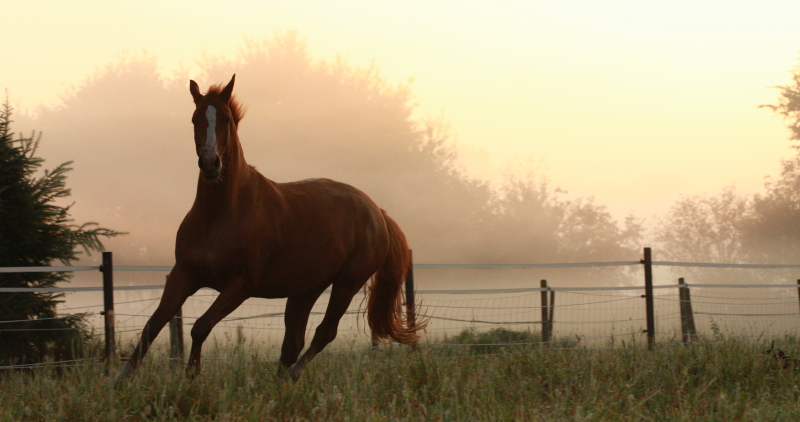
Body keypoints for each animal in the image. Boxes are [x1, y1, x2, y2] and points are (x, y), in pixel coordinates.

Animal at [116, 74, 424, 384]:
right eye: (194, 119)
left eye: (226, 119)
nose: (211, 163)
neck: (221, 214)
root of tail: (377, 212)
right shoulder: (183, 275)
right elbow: (152, 326)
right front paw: (120, 381)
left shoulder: (240, 285)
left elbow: (200, 326)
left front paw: (192, 376)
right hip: (306, 289)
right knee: (293, 342)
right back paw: (278, 384)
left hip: (347, 283)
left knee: (323, 333)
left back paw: (292, 376)